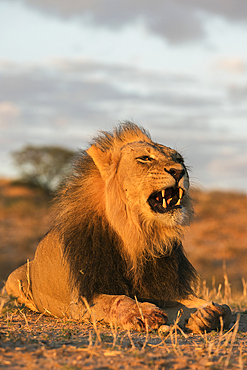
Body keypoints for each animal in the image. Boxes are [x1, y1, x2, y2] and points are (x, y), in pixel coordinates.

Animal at [6, 123, 233, 334]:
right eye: (145, 158)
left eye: (180, 159)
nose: (179, 171)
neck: (136, 234)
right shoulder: (80, 300)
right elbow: (115, 300)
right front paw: (142, 313)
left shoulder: (164, 289)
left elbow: (211, 306)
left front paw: (207, 313)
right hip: (13, 279)